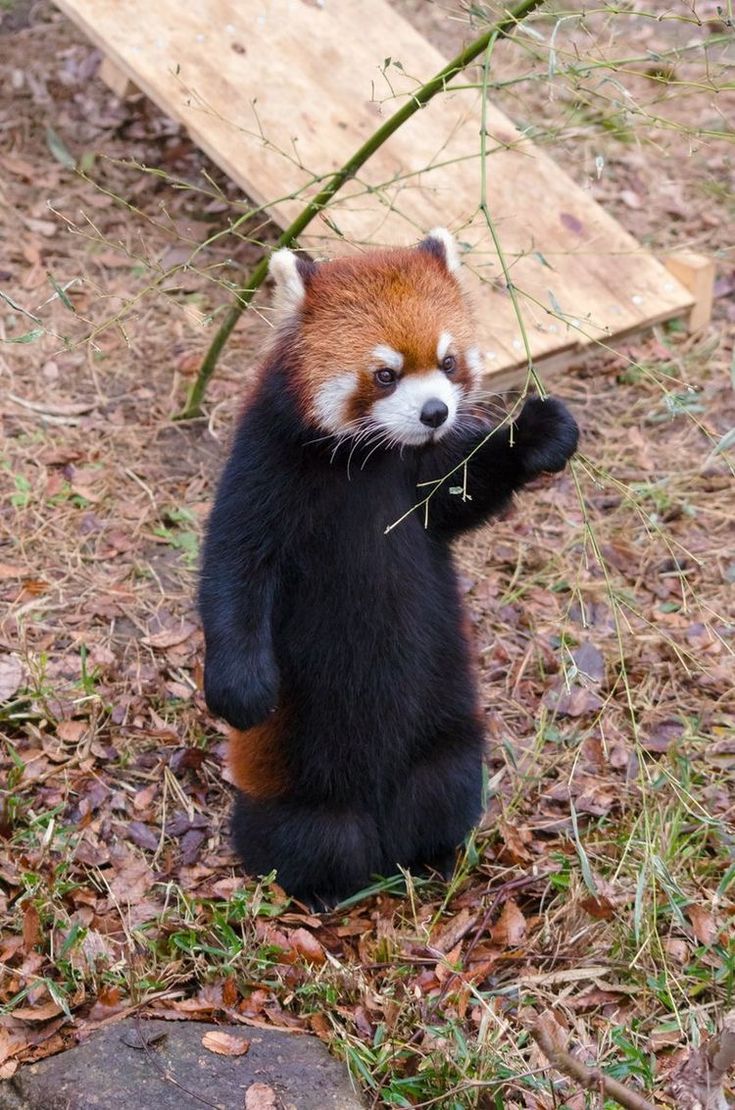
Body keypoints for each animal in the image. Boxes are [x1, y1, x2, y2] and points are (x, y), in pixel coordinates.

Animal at [198, 229, 577, 905]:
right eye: (384, 374)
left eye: (448, 363)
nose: (435, 413)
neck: (372, 459)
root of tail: (378, 820)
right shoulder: (266, 465)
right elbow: (234, 567)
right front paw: (240, 687)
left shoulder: (426, 481)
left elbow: (467, 492)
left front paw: (536, 432)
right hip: (299, 787)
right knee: (311, 838)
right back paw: (319, 889)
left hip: (446, 744)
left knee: (444, 788)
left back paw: (434, 857)